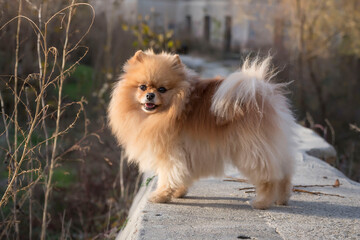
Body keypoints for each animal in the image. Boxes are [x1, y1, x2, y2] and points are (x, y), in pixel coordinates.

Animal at [107, 49, 296, 209]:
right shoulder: (187, 153)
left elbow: (168, 175)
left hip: (250, 149)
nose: (150, 95)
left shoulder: (171, 153)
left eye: (162, 89)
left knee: (268, 176)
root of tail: (262, 93)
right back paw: (281, 199)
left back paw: (261, 202)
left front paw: (161, 195)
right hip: (271, 145)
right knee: (284, 172)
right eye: (142, 87)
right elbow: (182, 175)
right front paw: (179, 192)